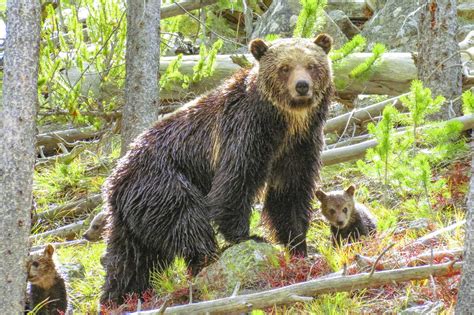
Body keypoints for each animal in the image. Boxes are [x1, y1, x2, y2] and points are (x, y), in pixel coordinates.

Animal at [102, 34, 336, 304]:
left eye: (312, 65)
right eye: (284, 67)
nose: (302, 86)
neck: (283, 124)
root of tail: (114, 180)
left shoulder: (299, 148)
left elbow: (289, 194)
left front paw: (299, 245)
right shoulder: (244, 132)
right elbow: (235, 182)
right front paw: (247, 236)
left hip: (134, 215)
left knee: (130, 258)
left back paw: (119, 295)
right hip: (162, 183)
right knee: (187, 219)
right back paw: (205, 259)